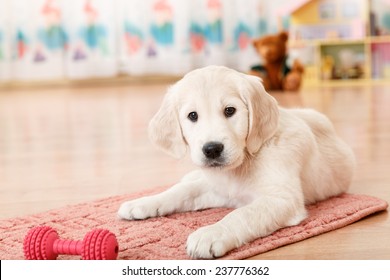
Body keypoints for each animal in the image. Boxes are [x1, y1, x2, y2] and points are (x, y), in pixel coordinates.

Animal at [117, 65, 354, 258]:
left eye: (230, 110)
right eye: (192, 116)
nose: (212, 149)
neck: (244, 161)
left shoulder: (282, 199)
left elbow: (242, 214)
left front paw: (210, 234)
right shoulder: (219, 190)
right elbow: (182, 192)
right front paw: (144, 203)